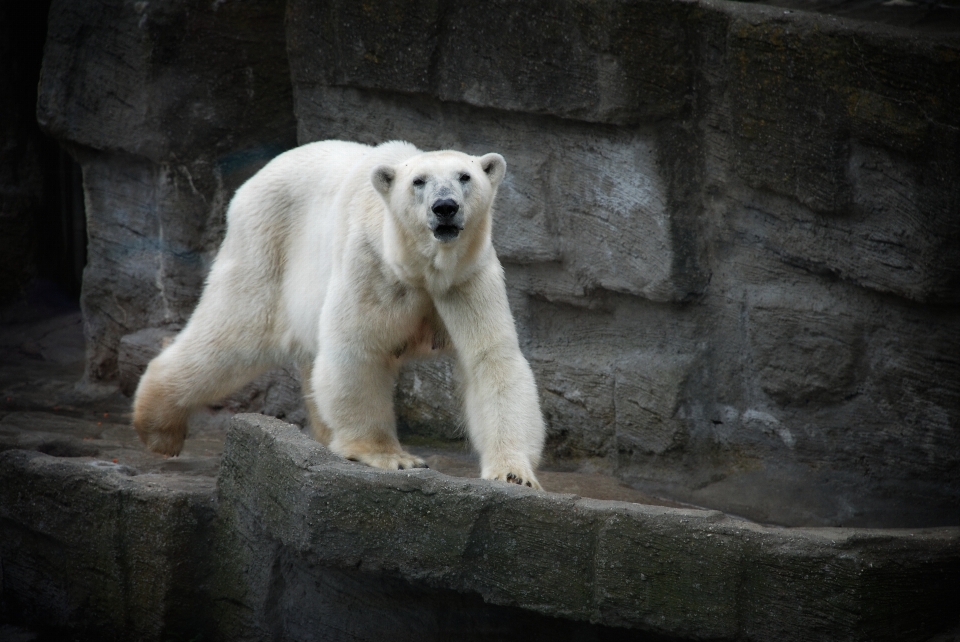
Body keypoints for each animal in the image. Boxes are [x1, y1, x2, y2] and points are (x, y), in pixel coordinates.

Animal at [131, 141, 544, 484]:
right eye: (419, 181)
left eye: (465, 176)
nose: (445, 207)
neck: (418, 268)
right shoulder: (371, 266)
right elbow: (357, 350)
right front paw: (391, 457)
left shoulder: (467, 279)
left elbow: (491, 360)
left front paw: (513, 474)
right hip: (266, 247)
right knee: (232, 334)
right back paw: (160, 429)